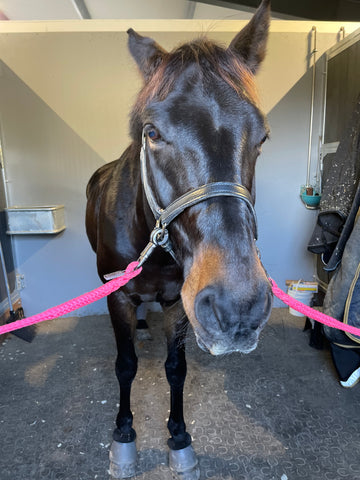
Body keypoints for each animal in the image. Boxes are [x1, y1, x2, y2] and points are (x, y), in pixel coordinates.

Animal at [86, 1, 272, 478]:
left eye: (262, 136)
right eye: (152, 132)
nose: (238, 308)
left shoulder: (179, 301)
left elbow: (176, 368)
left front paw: (179, 437)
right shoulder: (118, 295)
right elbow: (126, 365)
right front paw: (124, 436)